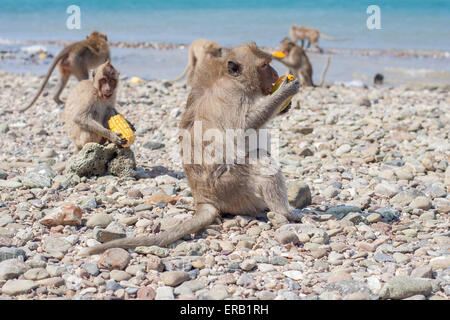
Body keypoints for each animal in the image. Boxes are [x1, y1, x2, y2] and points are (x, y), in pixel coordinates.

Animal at [81, 43, 302, 258]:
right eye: (265, 65)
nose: (275, 74)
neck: (234, 80)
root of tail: (203, 198)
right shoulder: (232, 96)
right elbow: (243, 129)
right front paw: (285, 91)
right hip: (231, 186)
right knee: (262, 160)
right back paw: (286, 213)